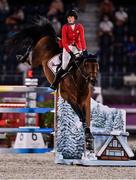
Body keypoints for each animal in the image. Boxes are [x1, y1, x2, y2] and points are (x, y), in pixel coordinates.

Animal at [7, 16, 99, 153]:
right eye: (86, 65)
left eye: (96, 66)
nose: (93, 80)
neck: (78, 82)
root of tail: (50, 36)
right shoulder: (70, 99)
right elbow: (82, 117)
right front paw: (87, 139)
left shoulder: (83, 101)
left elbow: (85, 118)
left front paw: (88, 139)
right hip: (36, 58)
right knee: (31, 53)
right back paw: (21, 56)